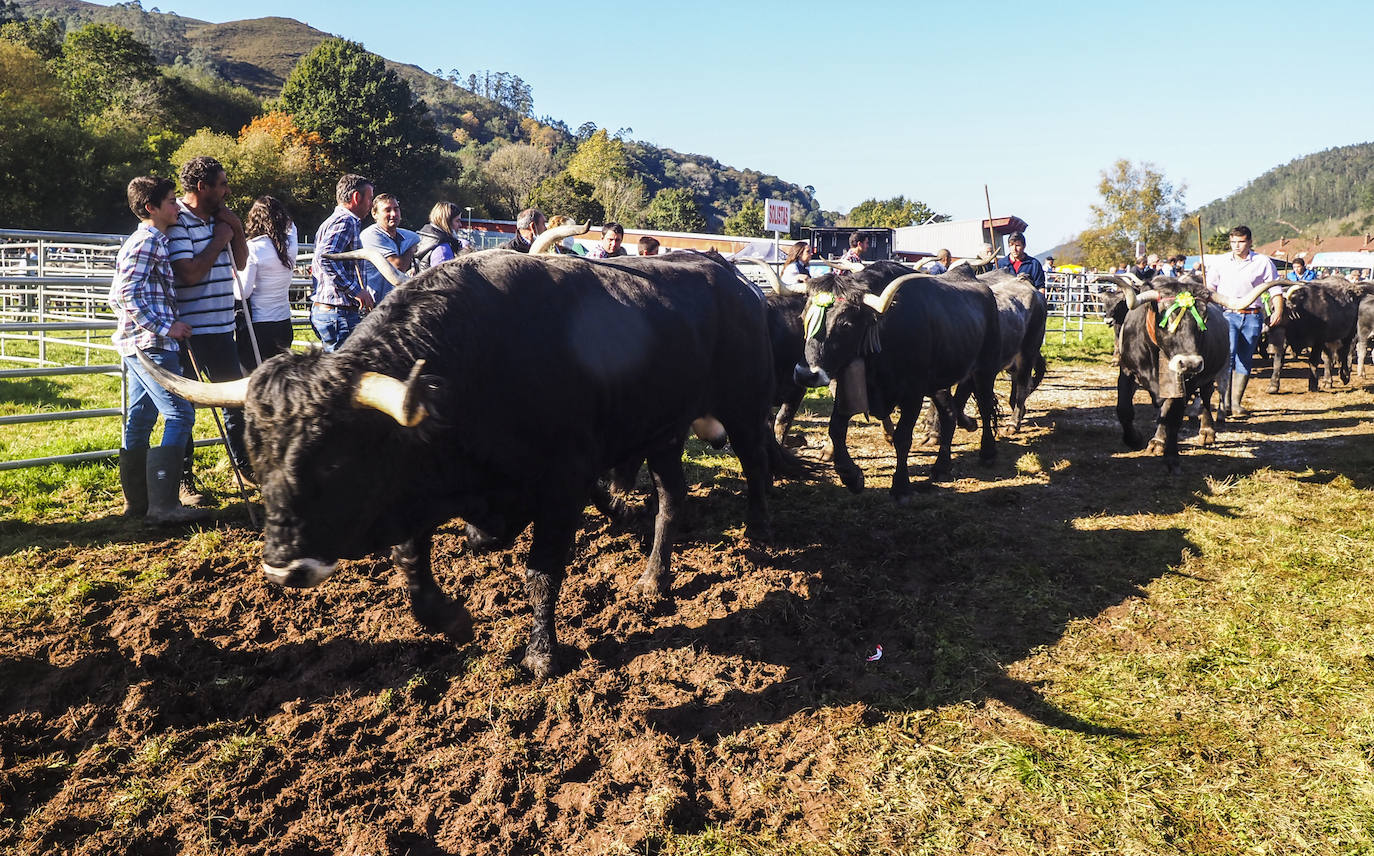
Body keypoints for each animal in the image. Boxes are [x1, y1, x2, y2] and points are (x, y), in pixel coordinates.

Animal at [147, 230, 785, 678]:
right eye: (257, 459)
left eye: (333, 461)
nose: (283, 567)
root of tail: (728, 273)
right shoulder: (422, 488)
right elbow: (415, 563)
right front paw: (454, 617)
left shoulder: (562, 483)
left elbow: (541, 570)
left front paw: (541, 655)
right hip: (663, 432)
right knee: (672, 499)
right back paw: (655, 578)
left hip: (742, 404)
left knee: (756, 461)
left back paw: (759, 529)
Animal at [791, 262, 1005, 502]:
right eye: (803, 317)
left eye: (846, 324)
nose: (805, 374)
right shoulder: (849, 386)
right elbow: (836, 428)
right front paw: (851, 475)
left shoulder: (913, 393)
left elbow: (902, 438)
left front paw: (901, 486)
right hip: (938, 383)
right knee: (949, 414)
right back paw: (941, 467)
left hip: (985, 368)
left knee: (985, 407)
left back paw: (987, 453)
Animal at [1099, 274, 1269, 472]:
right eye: (1164, 315)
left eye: (1204, 316)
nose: (1190, 364)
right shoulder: (1127, 372)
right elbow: (1124, 410)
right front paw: (1134, 440)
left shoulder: (1185, 384)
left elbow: (1172, 418)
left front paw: (1171, 456)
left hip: (1211, 374)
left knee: (1206, 397)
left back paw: (1205, 431)